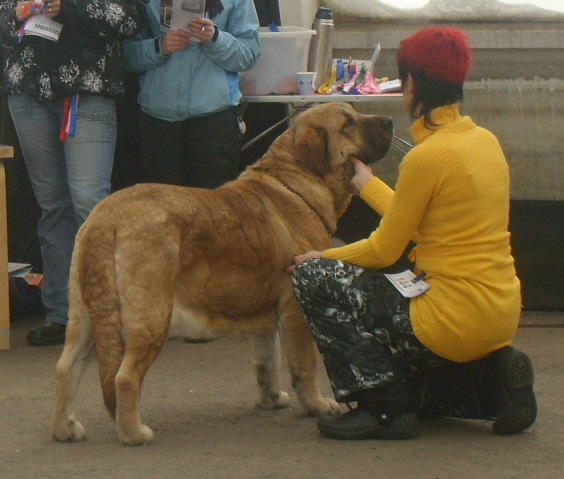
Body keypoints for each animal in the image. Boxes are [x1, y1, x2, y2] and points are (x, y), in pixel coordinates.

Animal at [51, 102, 392, 446]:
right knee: (125, 377)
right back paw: (134, 433)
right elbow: (304, 364)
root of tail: (106, 219)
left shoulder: (265, 313)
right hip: (149, 319)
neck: (296, 185)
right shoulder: (295, 311)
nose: (390, 120)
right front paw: (318, 405)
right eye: (348, 123)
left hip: (87, 317)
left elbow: (267, 361)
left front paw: (271, 399)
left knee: (67, 367)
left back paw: (66, 429)